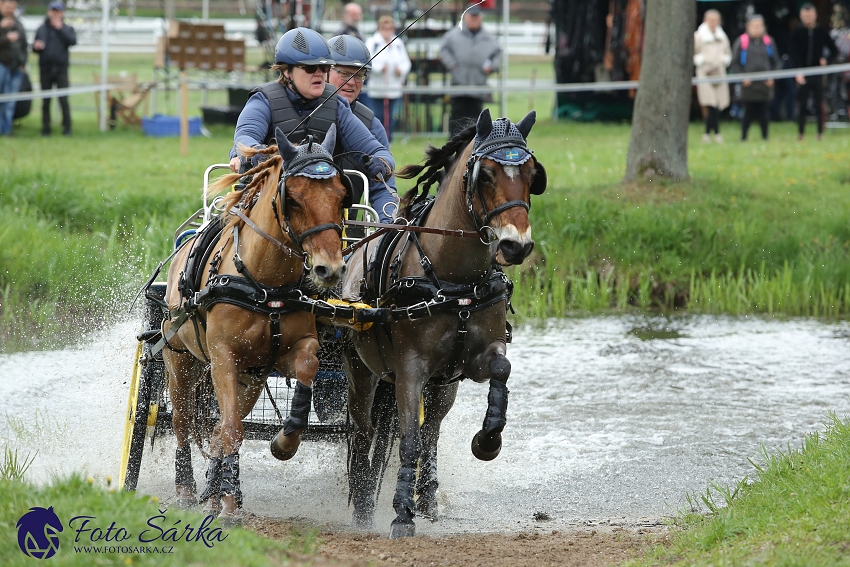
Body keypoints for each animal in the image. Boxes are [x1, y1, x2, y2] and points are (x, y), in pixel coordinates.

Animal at [161, 126, 352, 524]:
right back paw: (187, 488)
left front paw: (284, 441)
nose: (329, 269)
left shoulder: (285, 353)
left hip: (250, 378)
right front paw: (231, 504)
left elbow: (307, 366)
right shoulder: (222, 358)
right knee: (183, 421)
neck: (266, 284)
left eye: (342, 195)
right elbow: (233, 429)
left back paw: (215, 489)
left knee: (216, 429)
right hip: (180, 360)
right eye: (293, 198)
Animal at [338, 110, 544, 536]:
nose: (516, 245)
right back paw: (364, 504)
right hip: (362, 372)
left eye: (532, 173)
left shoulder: (474, 357)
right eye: (485, 175)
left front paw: (488, 440)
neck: (453, 278)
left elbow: (502, 369)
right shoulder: (410, 369)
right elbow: (407, 440)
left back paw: (428, 499)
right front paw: (400, 515)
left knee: (431, 430)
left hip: (442, 386)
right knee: (365, 432)